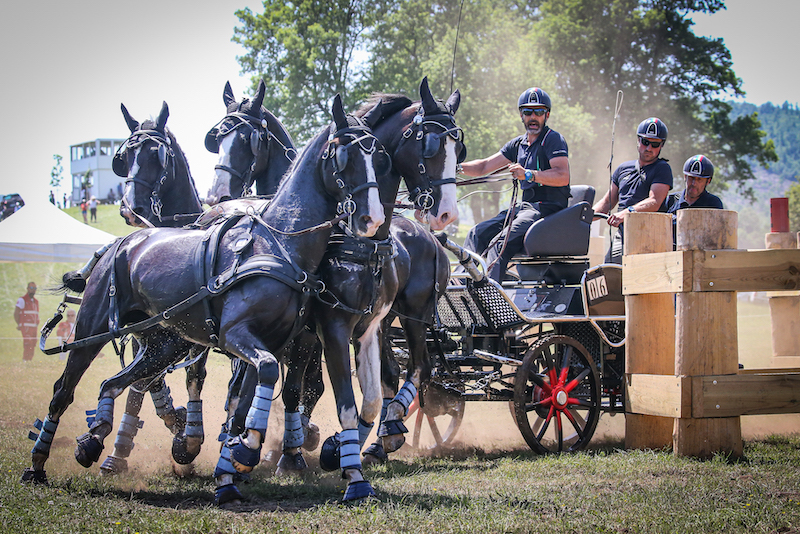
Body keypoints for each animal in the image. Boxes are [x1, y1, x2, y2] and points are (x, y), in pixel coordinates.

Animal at [23, 94, 386, 500]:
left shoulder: (274, 343)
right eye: (344, 156)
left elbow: (248, 399)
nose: (372, 218)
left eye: (378, 155)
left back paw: (95, 438)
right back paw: (39, 463)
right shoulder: (236, 336)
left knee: (115, 383)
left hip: (164, 344)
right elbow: (253, 386)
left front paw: (235, 463)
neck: (280, 242)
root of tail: (122, 241)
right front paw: (238, 450)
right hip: (92, 330)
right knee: (65, 391)